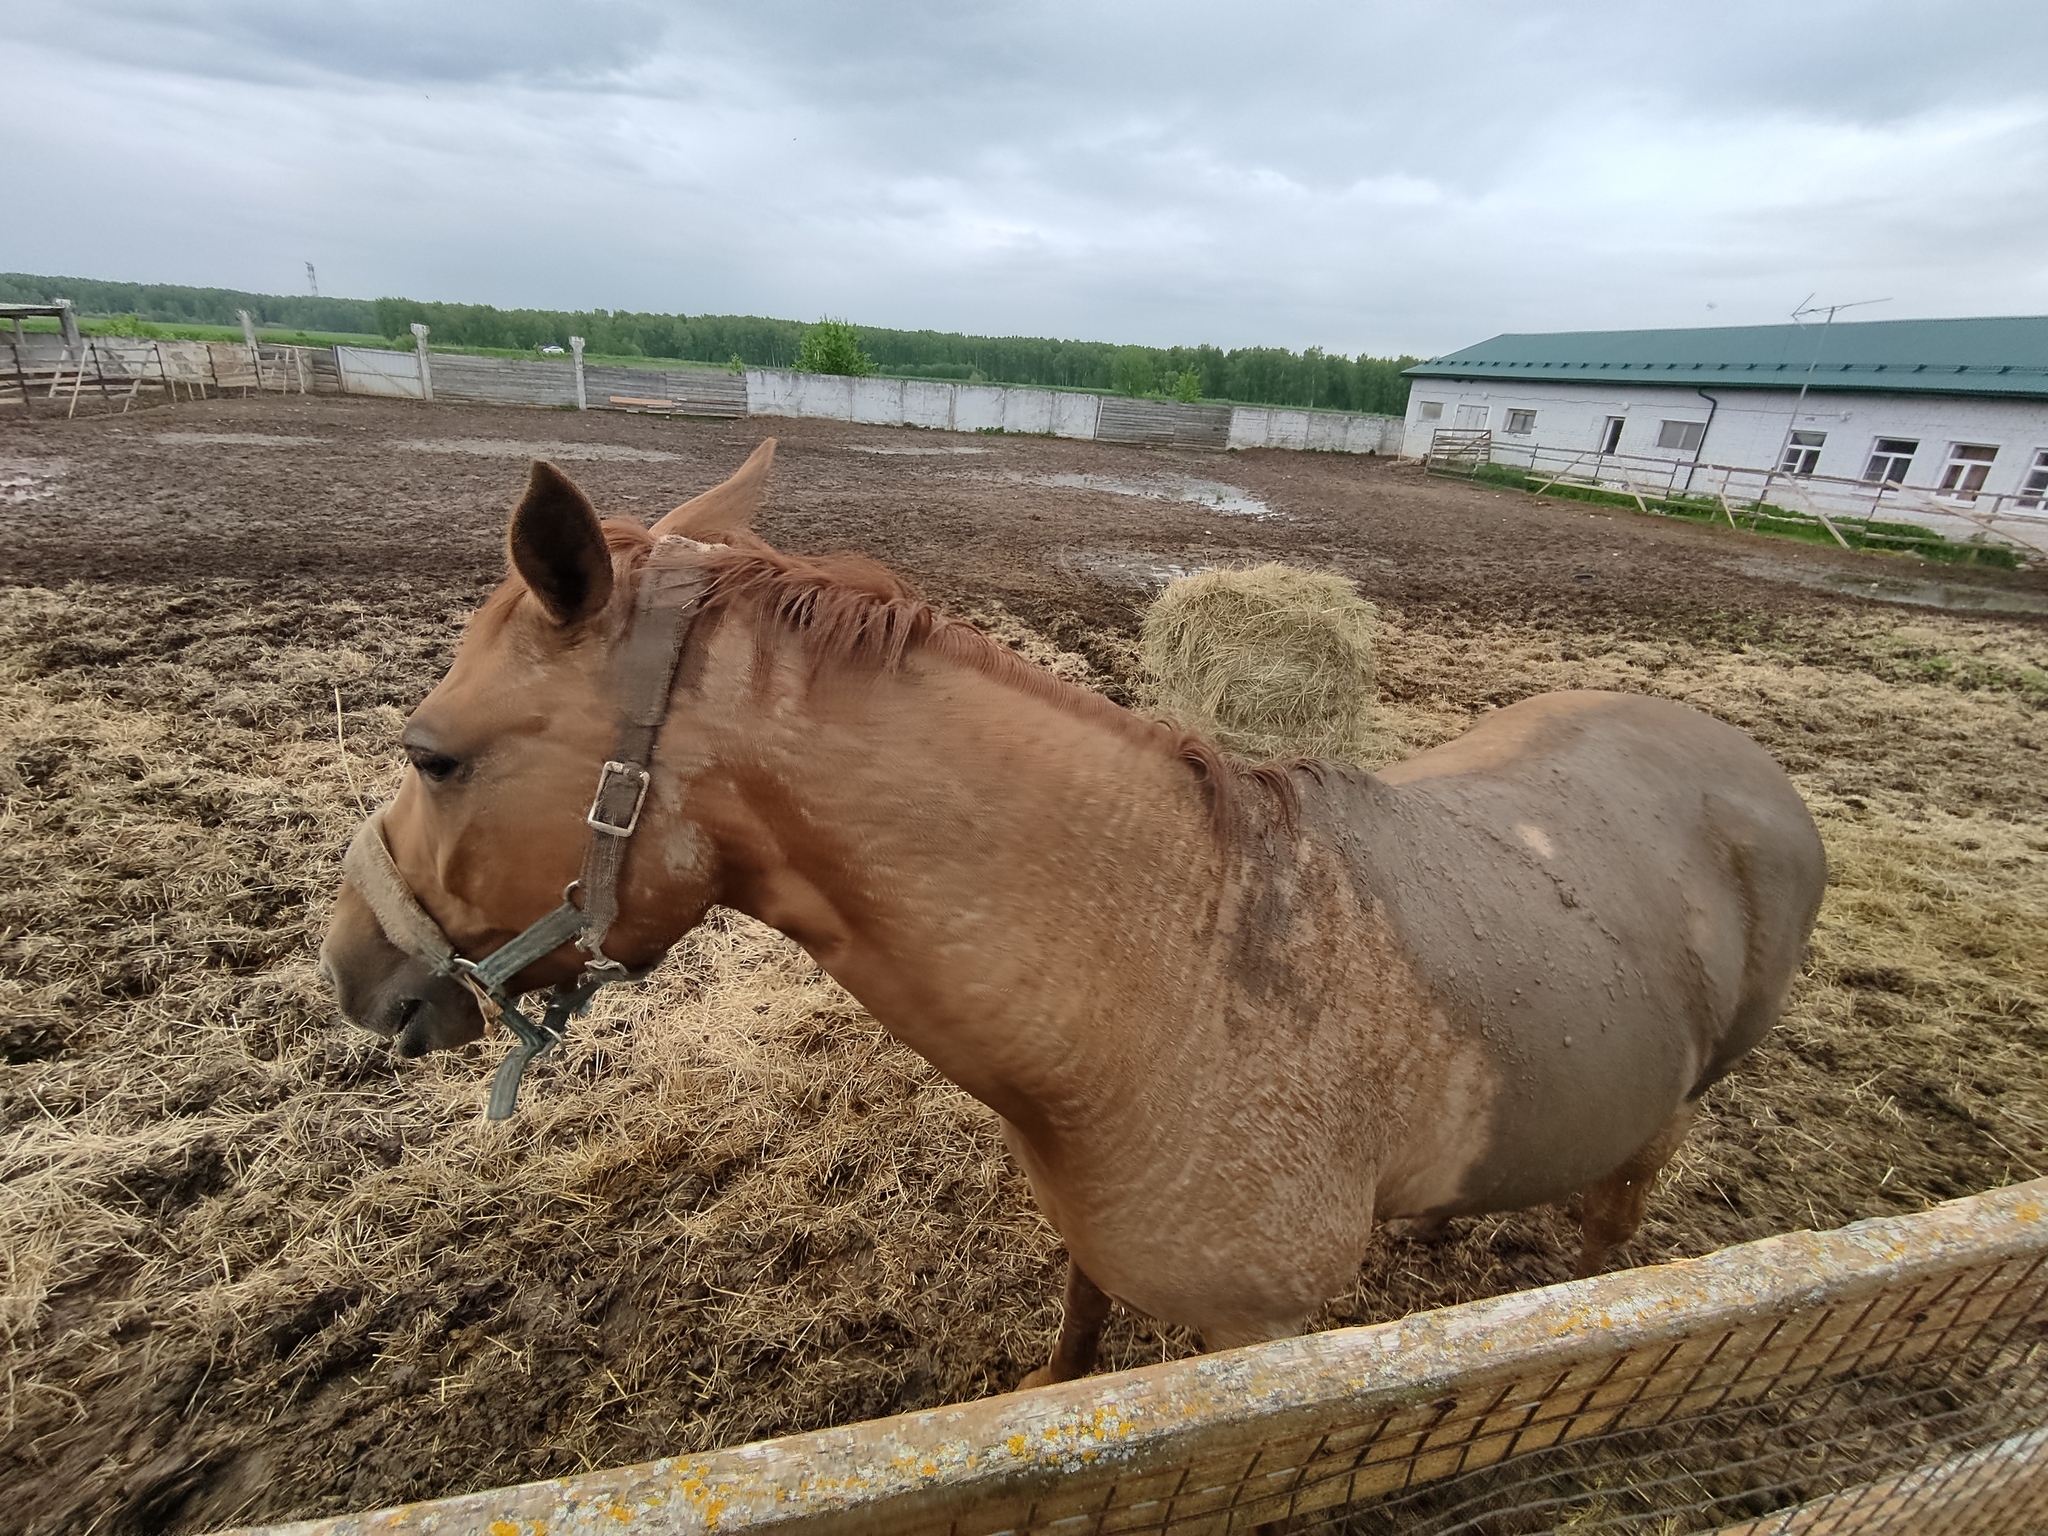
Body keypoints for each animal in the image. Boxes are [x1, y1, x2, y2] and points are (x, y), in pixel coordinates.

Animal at [319, 442, 1826, 1384]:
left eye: (431, 755)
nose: (349, 972)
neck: (1168, 975)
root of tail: (1754, 769)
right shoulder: (1097, 1250)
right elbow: (1073, 1359)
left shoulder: (1260, 1343)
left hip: (1663, 1131)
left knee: (1611, 1230)